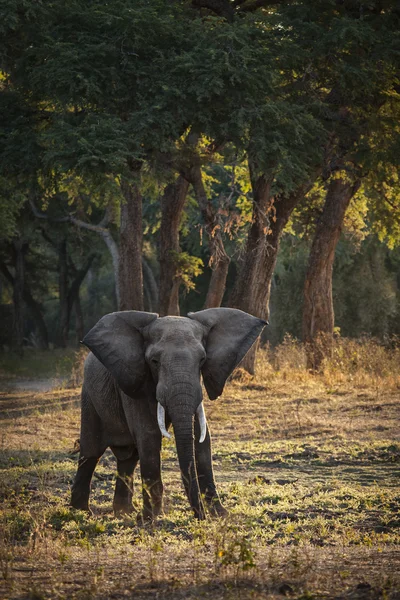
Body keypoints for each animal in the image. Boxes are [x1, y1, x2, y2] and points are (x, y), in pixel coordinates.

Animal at [70, 308, 268, 516]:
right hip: (89, 398)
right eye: (154, 361)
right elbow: (149, 436)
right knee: (91, 452)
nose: (200, 517)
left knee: (129, 457)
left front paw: (219, 514)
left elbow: (202, 438)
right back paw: (81, 513)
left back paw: (125, 513)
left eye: (202, 360)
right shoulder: (135, 381)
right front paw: (152, 518)